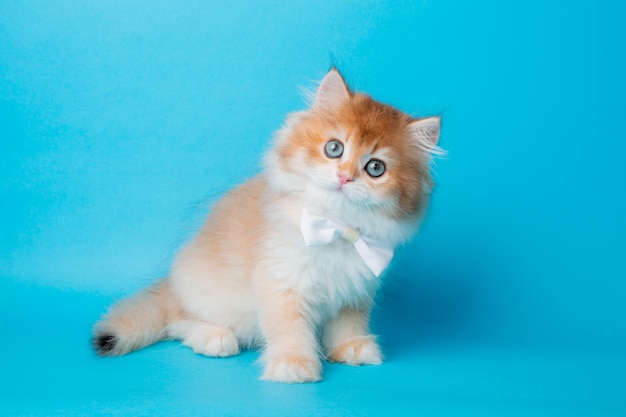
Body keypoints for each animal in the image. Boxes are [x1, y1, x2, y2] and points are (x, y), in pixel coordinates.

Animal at [94, 69, 444, 384]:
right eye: (334, 148)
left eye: (375, 168)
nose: (345, 177)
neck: (336, 227)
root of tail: (171, 283)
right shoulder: (281, 282)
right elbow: (288, 328)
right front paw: (294, 366)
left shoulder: (356, 289)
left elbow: (348, 323)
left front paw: (351, 347)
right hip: (216, 299)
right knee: (177, 321)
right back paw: (214, 338)